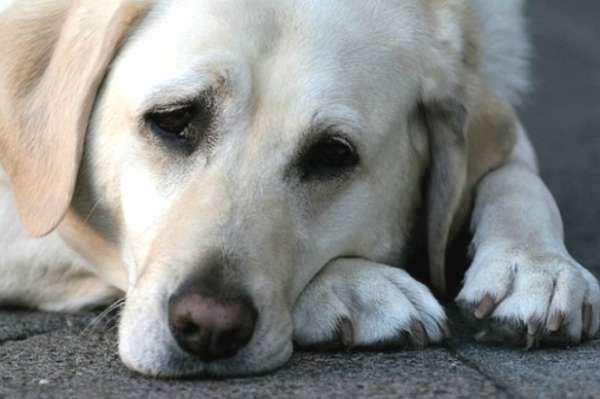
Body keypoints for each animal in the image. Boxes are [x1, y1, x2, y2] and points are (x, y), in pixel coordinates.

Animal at [0, 0, 596, 378]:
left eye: (332, 155)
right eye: (172, 119)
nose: (208, 327)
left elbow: (517, 176)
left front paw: (536, 267)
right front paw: (358, 286)